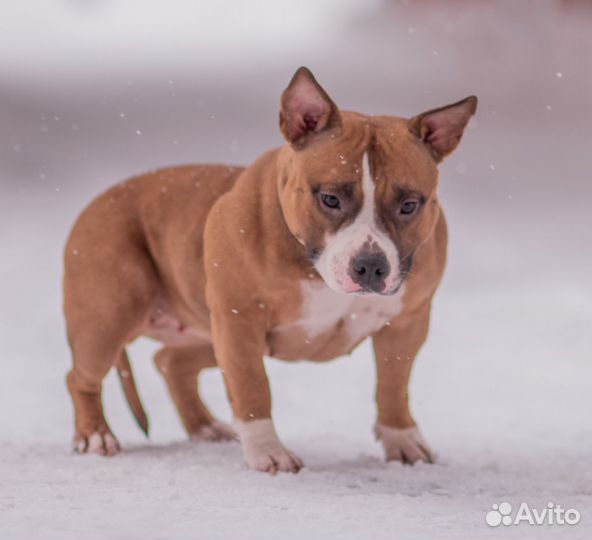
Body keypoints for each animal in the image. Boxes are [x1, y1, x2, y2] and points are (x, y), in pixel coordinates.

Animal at [63, 67, 476, 472]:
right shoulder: (239, 322)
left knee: (171, 361)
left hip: (206, 333)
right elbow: (252, 387)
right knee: (82, 377)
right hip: (109, 317)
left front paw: (402, 440)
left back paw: (204, 426)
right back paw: (95, 435)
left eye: (409, 205)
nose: (371, 265)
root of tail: (99, 200)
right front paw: (268, 453)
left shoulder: (407, 323)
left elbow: (394, 382)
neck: (310, 262)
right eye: (330, 199)